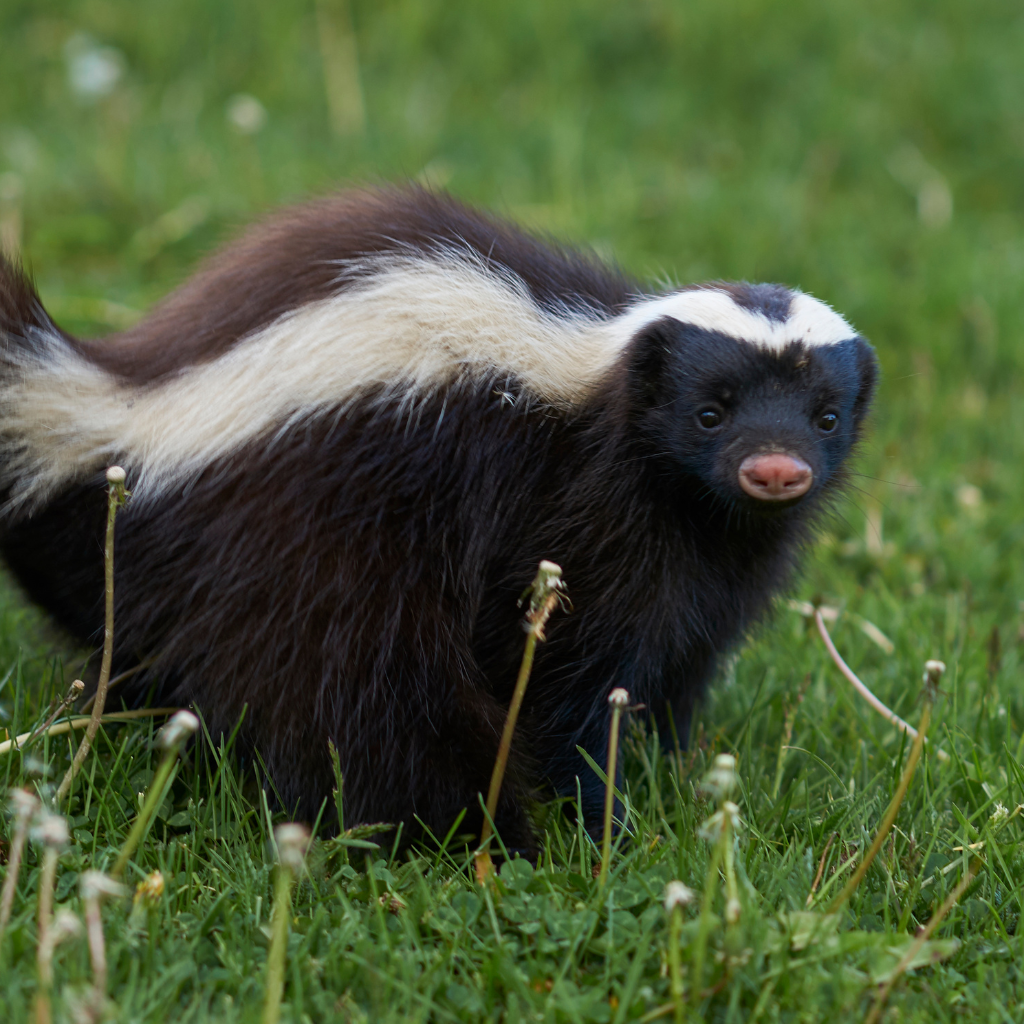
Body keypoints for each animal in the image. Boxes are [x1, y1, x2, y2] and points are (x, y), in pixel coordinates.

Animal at [0, 188, 876, 843]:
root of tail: (108, 404)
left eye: (825, 416)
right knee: (372, 704)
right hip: (318, 550)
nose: (775, 468)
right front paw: (607, 824)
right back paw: (468, 835)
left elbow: (676, 669)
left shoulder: (715, 563)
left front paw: (675, 776)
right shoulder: (581, 521)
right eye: (710, 412)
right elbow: (576, 682)